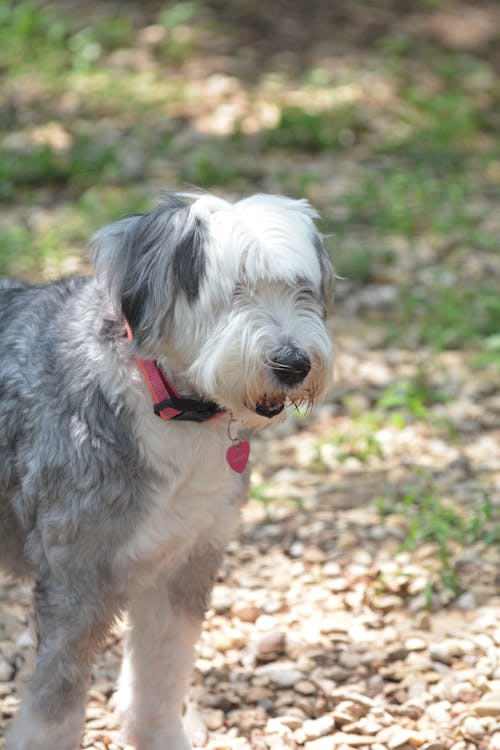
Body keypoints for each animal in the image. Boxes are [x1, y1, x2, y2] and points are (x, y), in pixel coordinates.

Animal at [0, 192, 336, 750]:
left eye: (301, 289)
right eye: (235, 290)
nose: (293, 364)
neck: (169, 404)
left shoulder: (184, 560)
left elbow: (161, 673)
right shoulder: (76, 579)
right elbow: (55, 707)